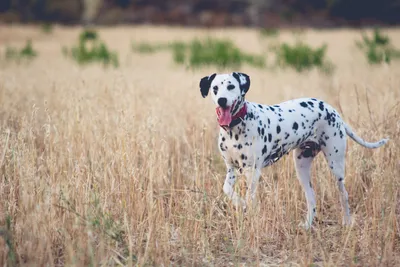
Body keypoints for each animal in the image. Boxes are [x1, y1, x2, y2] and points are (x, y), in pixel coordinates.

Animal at [198, 71, 390, 230]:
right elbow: (227, 189)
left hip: (336, 166)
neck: (235, 127)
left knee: (344, 194)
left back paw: (347, 222)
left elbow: (250, 198)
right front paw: (239, 204)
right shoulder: (231, 169)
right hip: (301, 166)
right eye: (215, 88)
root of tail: (332, 110)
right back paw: (307, 225)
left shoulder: (252, 171)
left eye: (231, 86)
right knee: (311, 198)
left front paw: (248, 211)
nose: (222, 100)